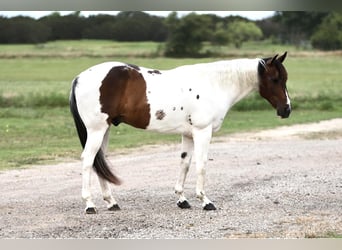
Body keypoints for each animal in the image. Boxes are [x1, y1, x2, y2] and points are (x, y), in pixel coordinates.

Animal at [69, 51, 292, 214]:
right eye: (274, 79)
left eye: (284, 78)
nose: (287, 110)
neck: (214, 84)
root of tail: (79, 78)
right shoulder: (203, 132)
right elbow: (201, 165)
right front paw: (205, 201)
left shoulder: (188, 135)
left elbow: (184, 164)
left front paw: (182, 199)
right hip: (96, 130)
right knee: (88, 160)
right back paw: (90, 205)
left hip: (105, 130)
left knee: (99, 161)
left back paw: (111, 202)